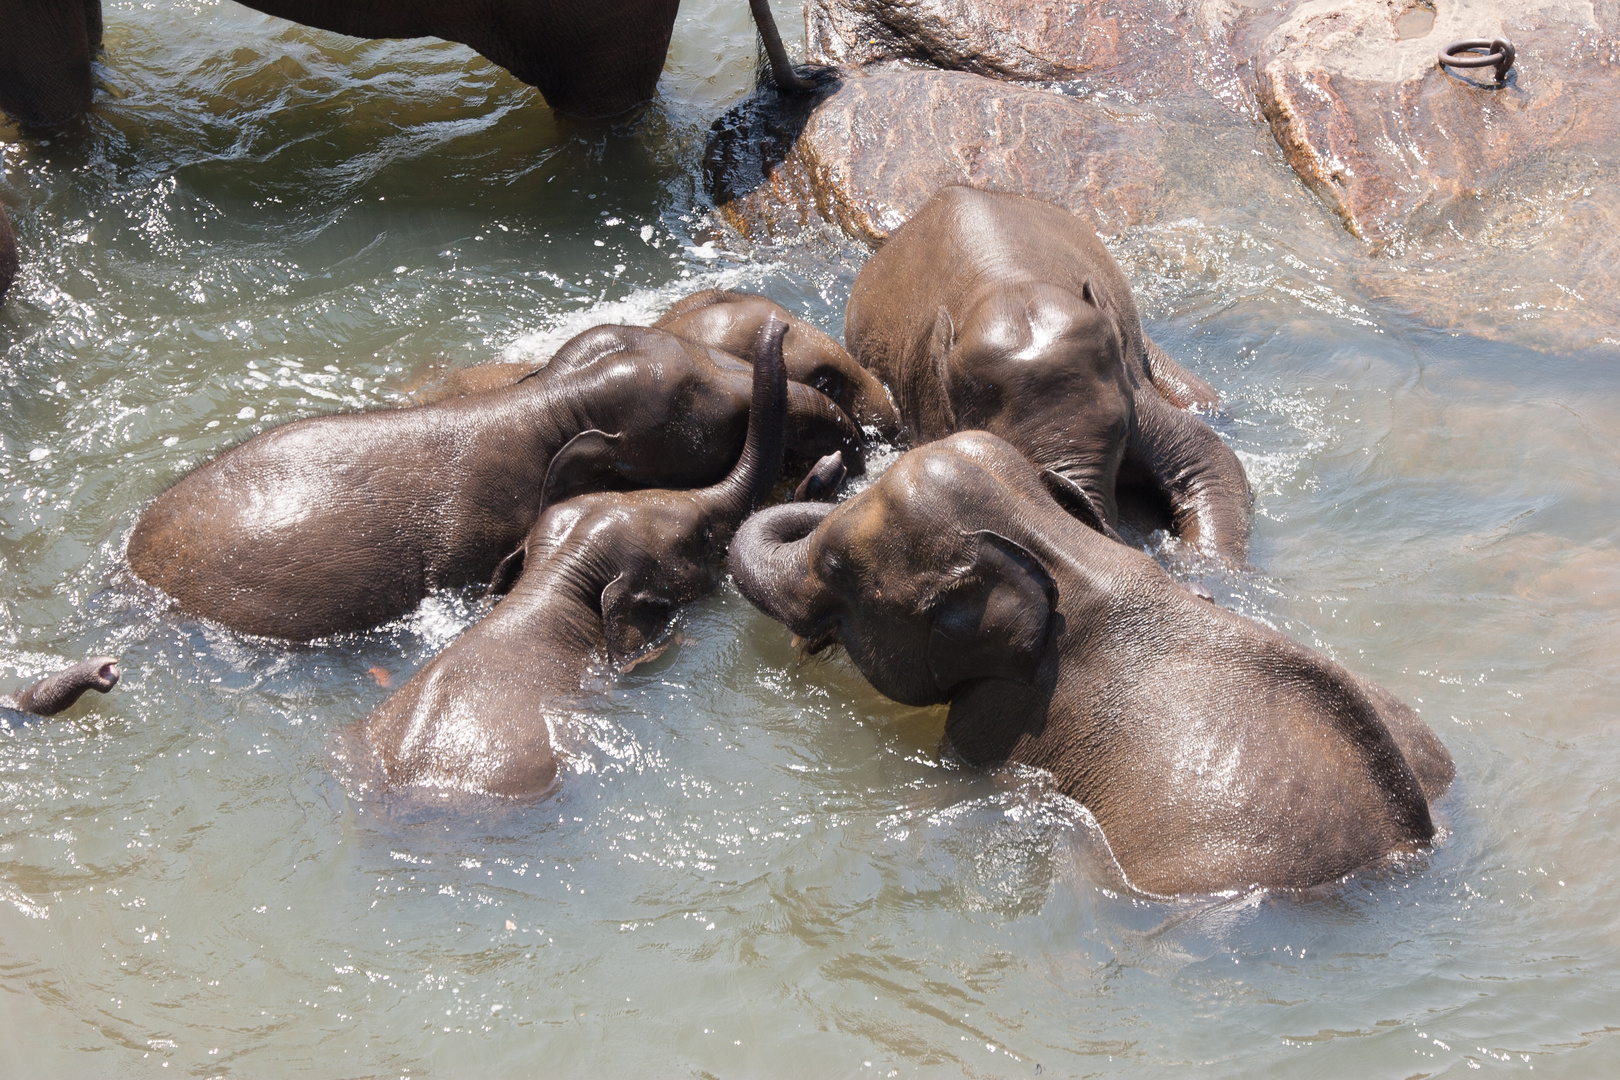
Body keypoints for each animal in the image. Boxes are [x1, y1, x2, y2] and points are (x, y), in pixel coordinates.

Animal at [848, 186, 1250, 566]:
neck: (1009, 286)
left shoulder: (1133, 389)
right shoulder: (931, 407)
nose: (1068, 493)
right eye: (1011, 455)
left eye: (1122, 430)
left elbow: (1210, 457)